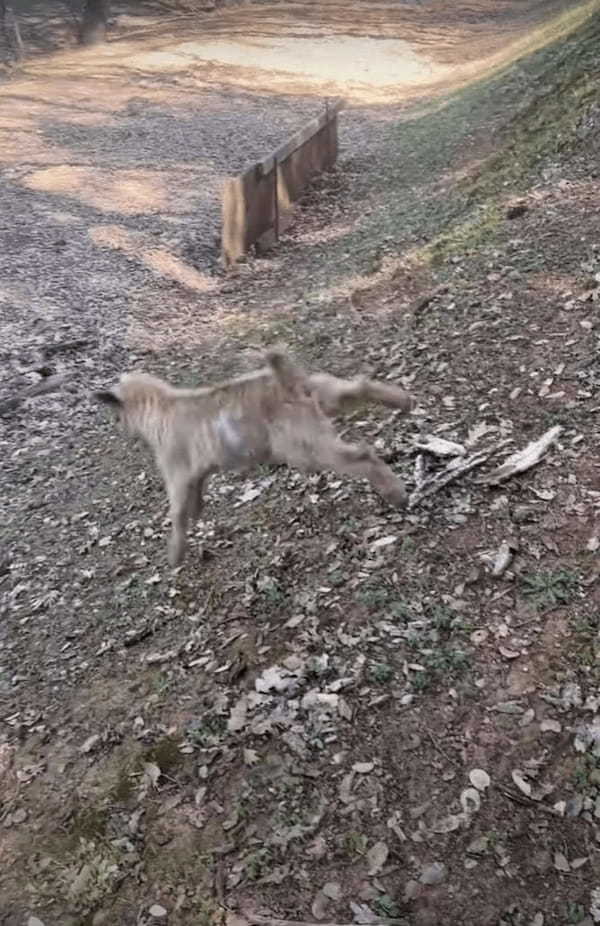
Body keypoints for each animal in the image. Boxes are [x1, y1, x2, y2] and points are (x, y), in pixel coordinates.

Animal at [96, 352, 412, 564]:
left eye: (117, 414)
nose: (117, 426)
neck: (160, 406)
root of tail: (287, 382)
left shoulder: (176, 474)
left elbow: (176, 513)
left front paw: (175, 552)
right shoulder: (198, 470)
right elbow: (196, 495)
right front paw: (197, 511)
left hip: (304, 447)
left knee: (362, 456)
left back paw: (396, 494)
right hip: (325, 395)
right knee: (360, 387)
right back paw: (404, 401)